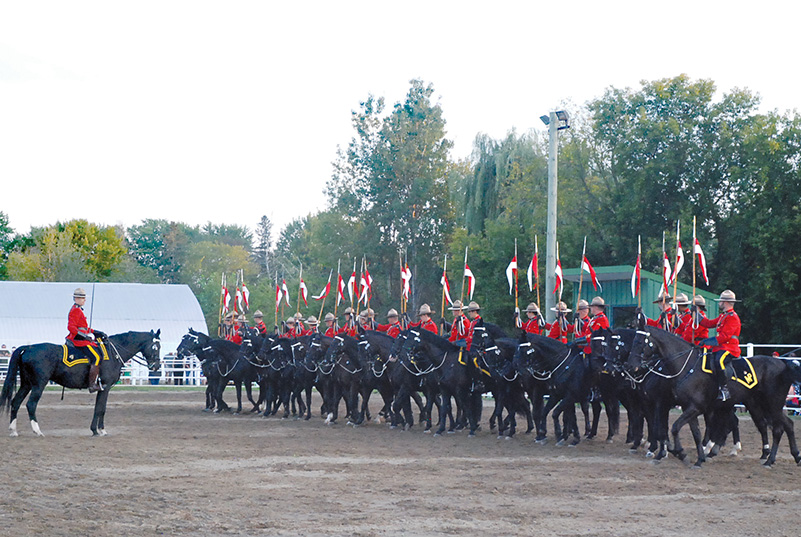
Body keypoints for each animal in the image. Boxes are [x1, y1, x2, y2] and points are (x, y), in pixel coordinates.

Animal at [0, 328, 162, 438]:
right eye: (156, 347)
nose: (156, 366)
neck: (112, 353)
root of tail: (29, 347)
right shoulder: (105, 387)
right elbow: (100, 409)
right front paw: (99, 430)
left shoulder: (102, 388)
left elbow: (99, 408)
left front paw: (97, 430)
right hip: (38, 384)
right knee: (31, 404)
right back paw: (37, 430)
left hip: (26, 384)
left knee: (15, 402)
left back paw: (13, 430)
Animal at [624, 322, 800, 464]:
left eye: (639, 342)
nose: (629, 365)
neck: (686, 366)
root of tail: (782, 363)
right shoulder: (688, 408)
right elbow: (693, 432)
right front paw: (697, 458)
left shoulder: (689, 407)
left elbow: (673, 427)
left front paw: (678, 452)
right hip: (758, 404)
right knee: (775, 426)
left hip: (773, 405)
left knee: (782, 427)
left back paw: (775, 458)